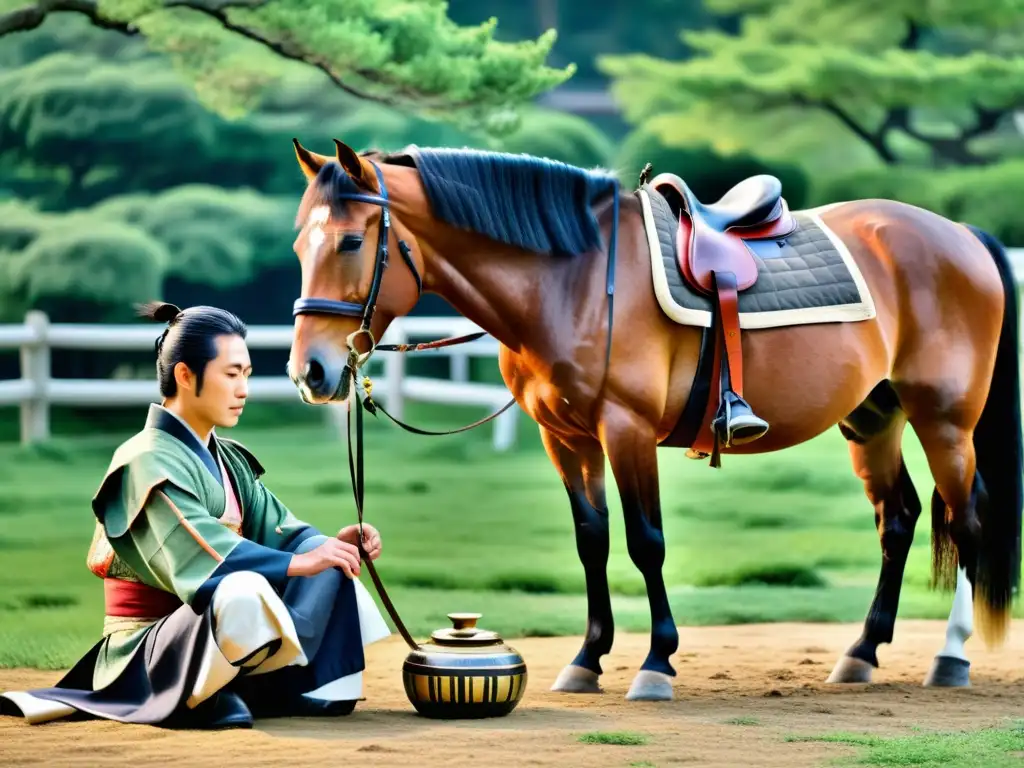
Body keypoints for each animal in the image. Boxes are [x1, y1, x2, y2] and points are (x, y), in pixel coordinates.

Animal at [284, 138, 1019, 704]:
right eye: (298, 245)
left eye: (351, 241)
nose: (310, 371)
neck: (573, 281)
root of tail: (958, 234)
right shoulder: (566, 438)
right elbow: (593, 541)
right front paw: (586, 660)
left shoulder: (626, 430)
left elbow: (646, 543)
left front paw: (655, 663)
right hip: (873, 418)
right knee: (898, 518)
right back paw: (863, 651)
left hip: (944, 420)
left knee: (967, 519)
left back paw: (951, 657)